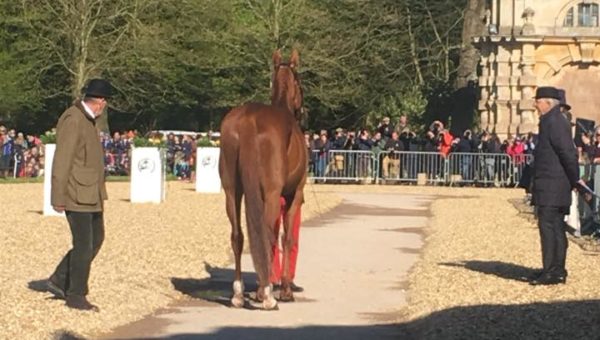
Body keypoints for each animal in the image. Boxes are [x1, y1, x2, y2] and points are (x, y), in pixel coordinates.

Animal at [219, 49, 308, 310]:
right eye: (300, 83)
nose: (303, 112)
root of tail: (249, 118)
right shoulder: (293, 195)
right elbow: (286, 238)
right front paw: (285, 290)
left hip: (232, 192)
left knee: (238, 236)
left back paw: (239, 294)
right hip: (270, 194)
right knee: (267, 235)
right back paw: (267, 294)